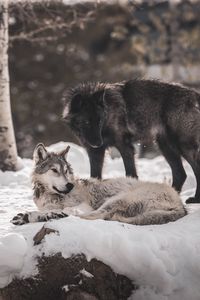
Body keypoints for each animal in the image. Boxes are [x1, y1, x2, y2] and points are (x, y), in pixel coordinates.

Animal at [10, 143, 186, 225]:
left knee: (90, 216)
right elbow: (49, 209)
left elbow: (67, 210)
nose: (69, 186)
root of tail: (181, 205)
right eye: (54, 170)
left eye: (66, 171)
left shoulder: (84, 205)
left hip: (115, 200)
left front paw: (43, 214)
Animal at [63, 78, 200, 204]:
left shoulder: (125, 146)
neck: (109, 112)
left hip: (182, 146)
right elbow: (95, 176)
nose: (98, 143)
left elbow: (130, 173)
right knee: (180, 174)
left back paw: (195, 199)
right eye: (86, 122)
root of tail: (192, 92)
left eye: (99, 121)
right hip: (165, 147)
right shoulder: (95, 153)